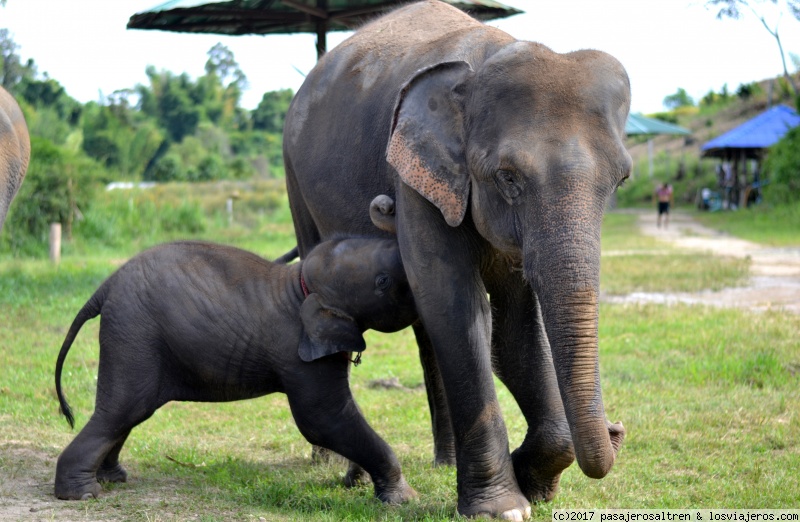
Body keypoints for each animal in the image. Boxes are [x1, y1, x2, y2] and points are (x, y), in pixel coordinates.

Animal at [54, 236, 418, 500]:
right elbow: (322, 419)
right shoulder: (298, 353)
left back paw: (112, 478)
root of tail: (104, 287)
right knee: (124, 409)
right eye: (382, 281)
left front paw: (360, 481)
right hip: (134, 333)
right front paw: (402, 499)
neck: (300, 281)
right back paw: (83, 494)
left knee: (127, 414)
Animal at [282, 0, 632, 512]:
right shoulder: (414, 176)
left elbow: (515, 331)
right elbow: (459, 309)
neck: (484, 60)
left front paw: (533, 480)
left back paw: (442, 463)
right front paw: (502, 507)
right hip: (294, 178)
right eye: (507, 177)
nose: (618, 428)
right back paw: (341, 471)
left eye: (621, 180)